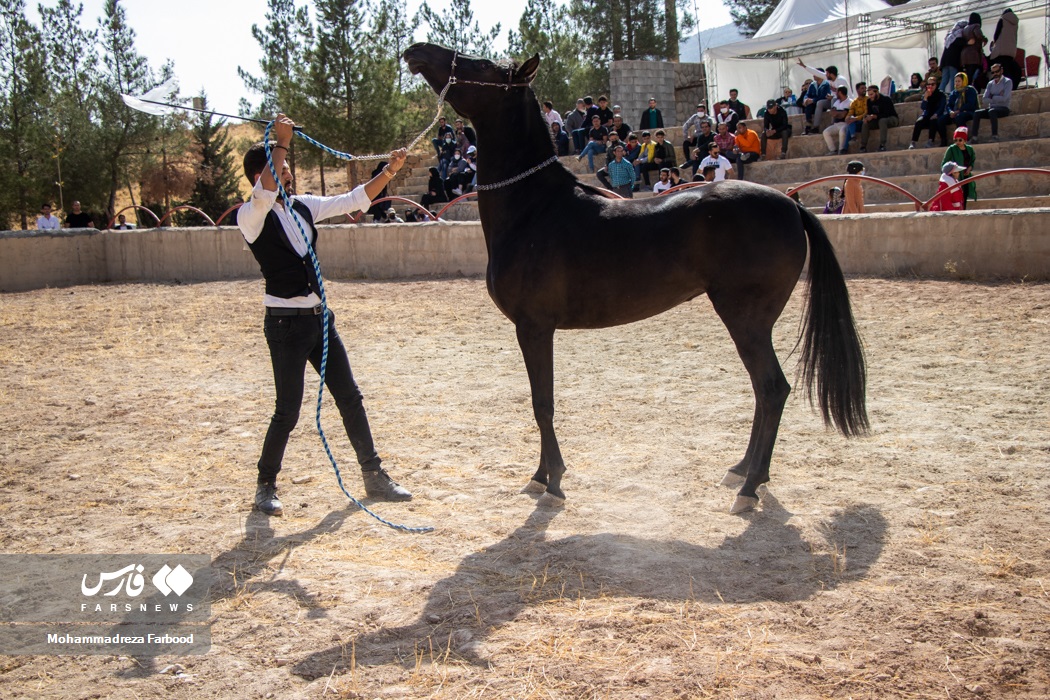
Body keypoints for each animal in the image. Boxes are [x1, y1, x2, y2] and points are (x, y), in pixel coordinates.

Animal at [401, 45, 869, 514]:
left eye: (481, 65)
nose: (417, 52)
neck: (534, 209)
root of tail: (791, 205)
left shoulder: (534, 328)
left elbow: (542, 404)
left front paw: (552, 482)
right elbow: (540, 403)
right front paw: (540, 475)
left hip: (746, 320)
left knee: (772, 389)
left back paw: (749, 486)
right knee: (763, 391)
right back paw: (742, 471)